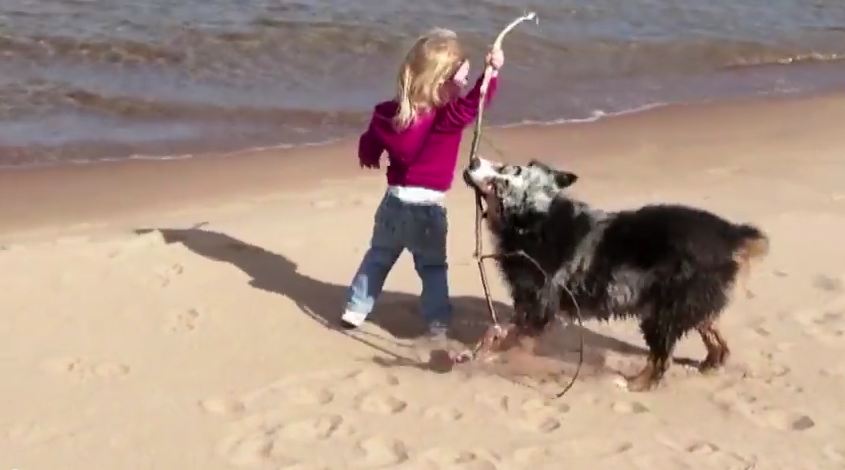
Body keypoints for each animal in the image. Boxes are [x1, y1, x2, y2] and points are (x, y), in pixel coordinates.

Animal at [464, 156, 768, 392]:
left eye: (507, 173)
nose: (474, 160)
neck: (534, 220)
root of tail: (730, 234)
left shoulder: (540, 305)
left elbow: (510, 336)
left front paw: (490, 357)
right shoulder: (525, 301)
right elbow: (498, 331)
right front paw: (480, 350)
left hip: (661, 312)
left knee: (661, 357)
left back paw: (636, 384)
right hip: (690, 303)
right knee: (714, 336)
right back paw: (710, 364)